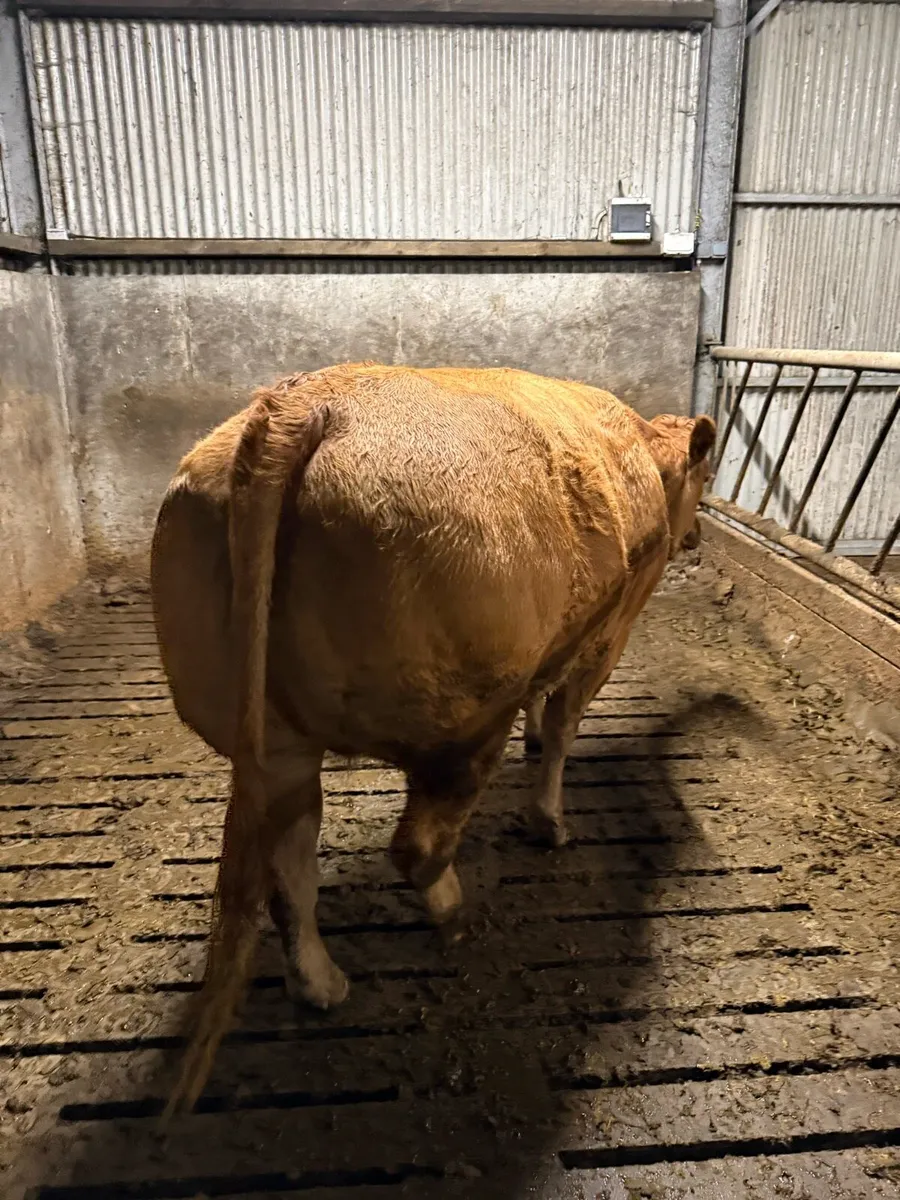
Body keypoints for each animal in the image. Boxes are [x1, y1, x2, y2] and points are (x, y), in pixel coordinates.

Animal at [150, 363, 715, 1117]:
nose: (698, 535)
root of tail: (304, 403)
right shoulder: (610, 629)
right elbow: (564, 721)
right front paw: (550, 822)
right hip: (466, 719)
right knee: (415, 845)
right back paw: (456, 914)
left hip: (275, 744)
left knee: (289, 866)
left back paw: (323, 984)